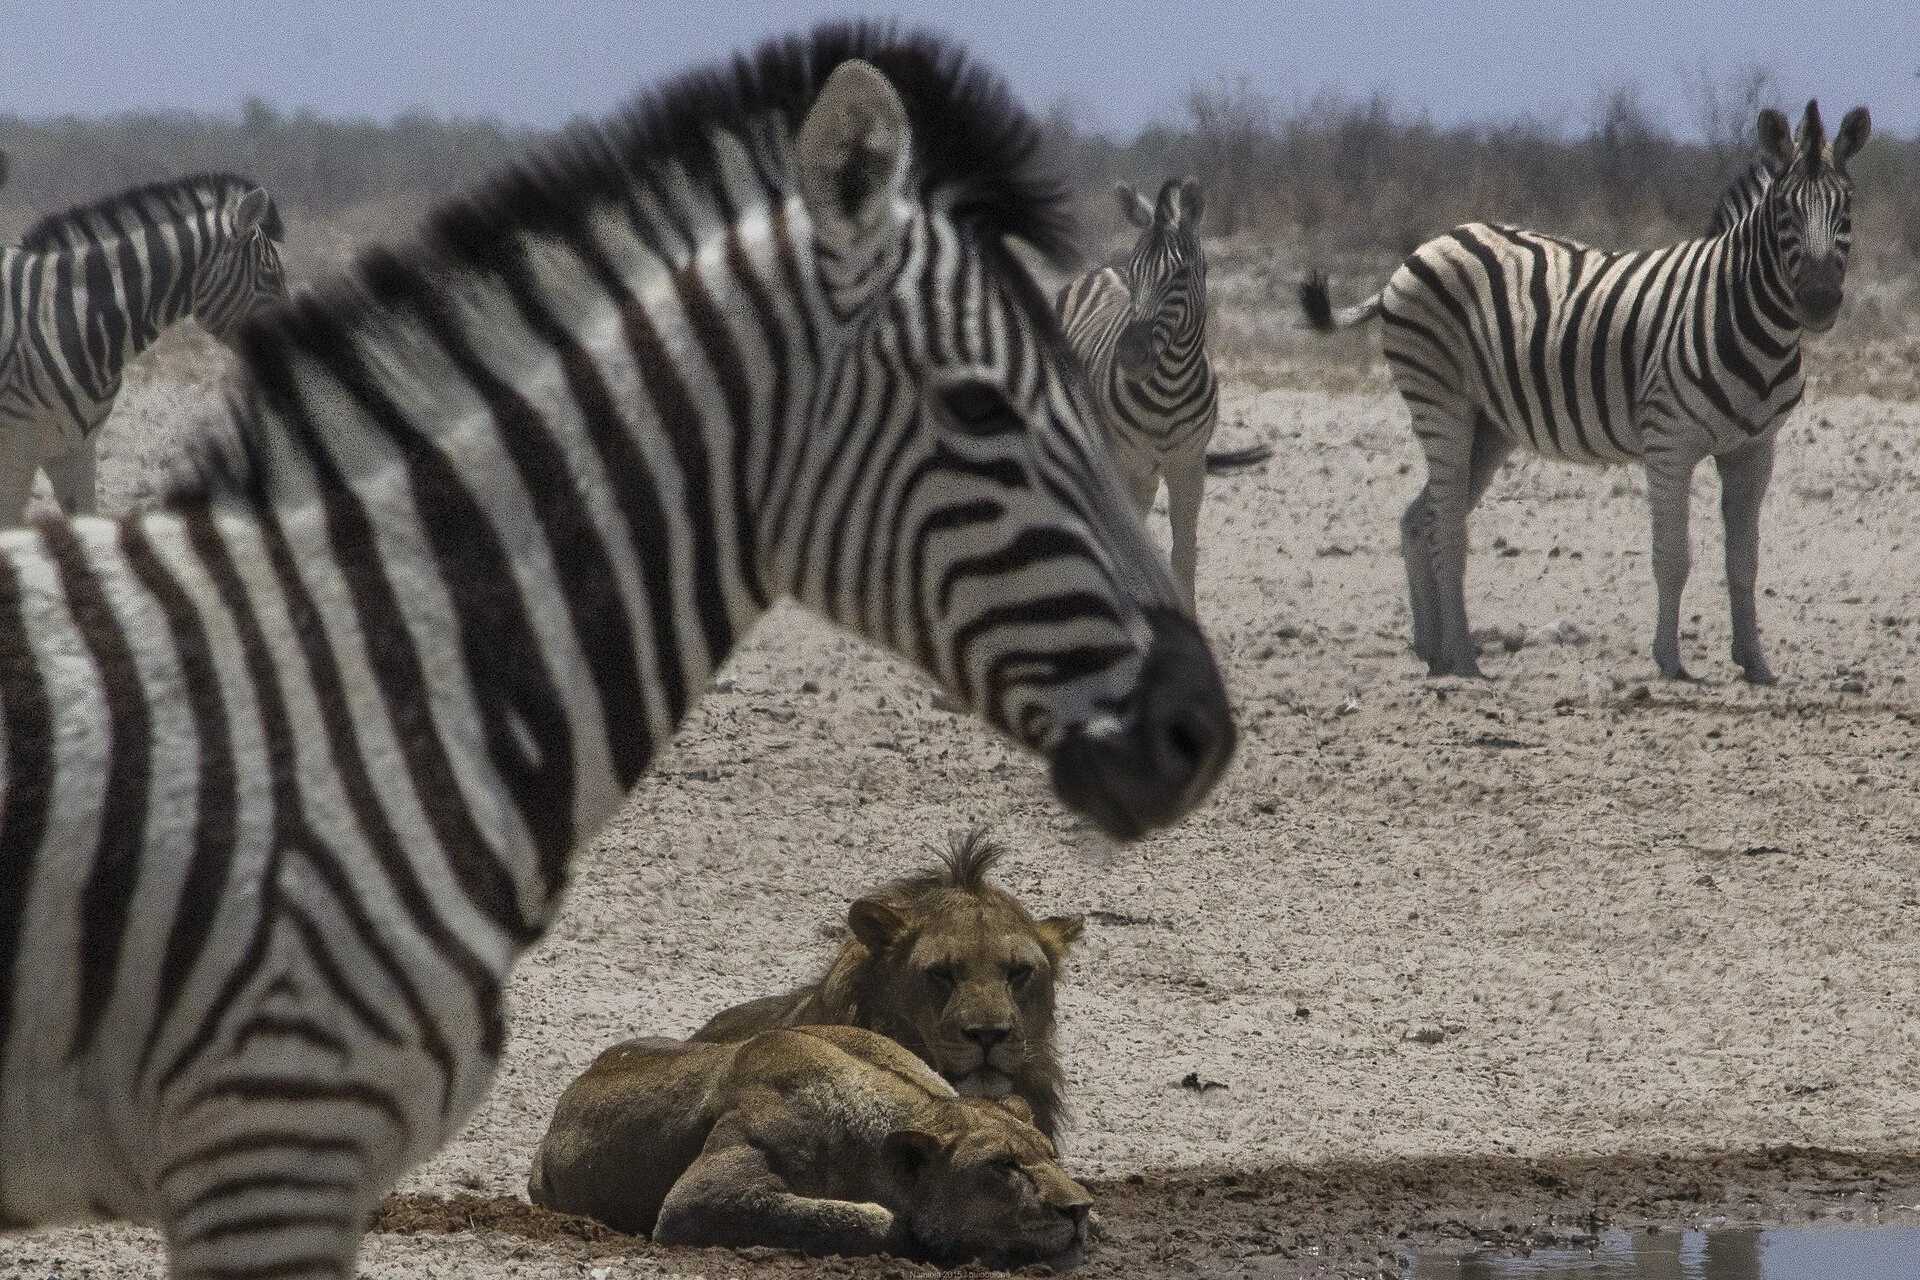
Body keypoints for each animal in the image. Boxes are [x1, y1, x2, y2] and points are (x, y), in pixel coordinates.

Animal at [1056, 178, 1216, 611]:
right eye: (1134, 271)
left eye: (1182, 273)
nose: (1129, 353)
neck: (1169, 390)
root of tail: (1096, 271)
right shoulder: (1122, 461)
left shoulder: (1188, 465)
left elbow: (1184, 553)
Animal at [1301, 100, 1869, 684]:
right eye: (1784, 212)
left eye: (1846, 207)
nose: (1818, 302)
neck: (1739, 315)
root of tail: (1424, 246)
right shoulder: (1669, 441)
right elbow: (1673, 556)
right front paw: (1669, 662)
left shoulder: (1755, 448)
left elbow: (1744, 561)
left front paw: (1755, 664)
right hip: (1440, 400)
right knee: (1447, 530)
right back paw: (1464, 659)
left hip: (1489, 425)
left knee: (1423, 520)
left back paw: (1435, 654)